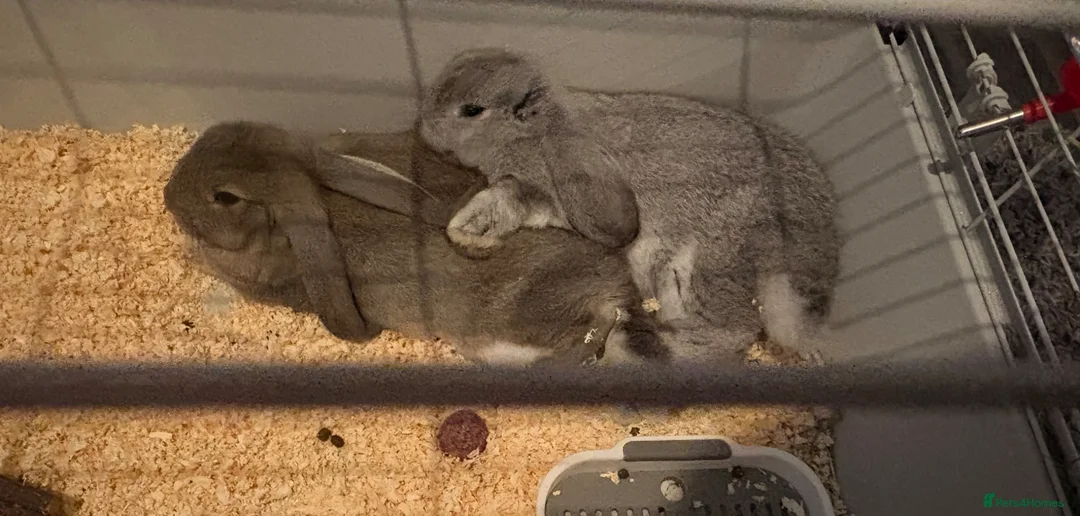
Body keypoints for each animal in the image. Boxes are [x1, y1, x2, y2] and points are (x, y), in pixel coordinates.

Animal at [419, 48, 841, 361]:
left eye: (471, 110)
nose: (423, 127)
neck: (534, 131)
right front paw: (468, 229)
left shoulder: (539, 187)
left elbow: (510, 201)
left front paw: (467, 230)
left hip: (709, 265)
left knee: (730, 329)